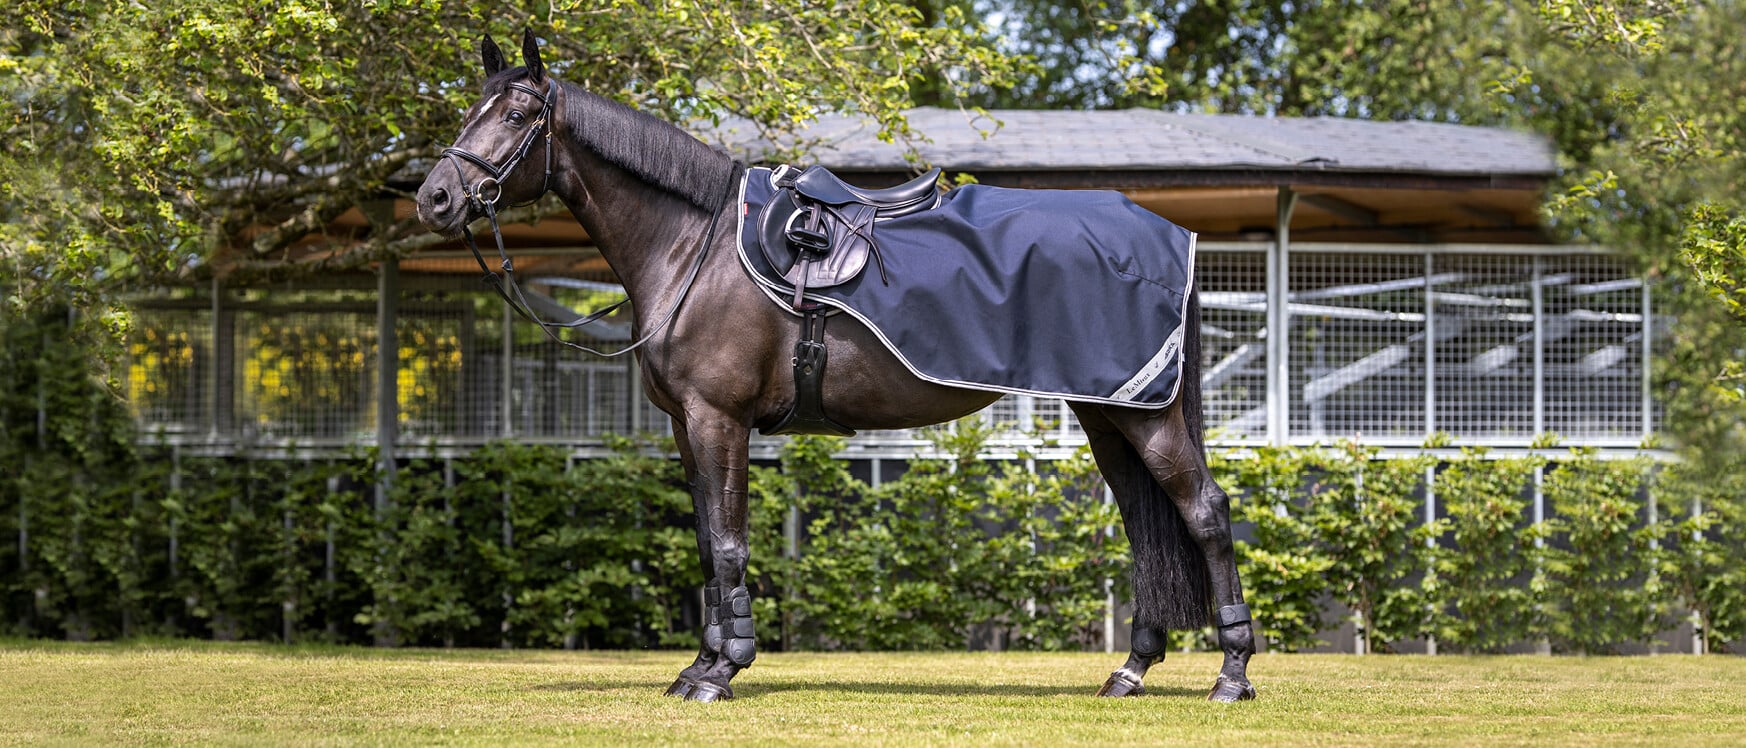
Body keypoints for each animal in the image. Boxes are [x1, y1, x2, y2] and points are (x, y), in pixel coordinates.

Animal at [415, 31, 1256, 703]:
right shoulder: (688, 427)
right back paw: (1131, 671)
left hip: (1144, 417)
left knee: (1205, 514)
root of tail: (1165, 232)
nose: (434, 198)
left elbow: (729, 542)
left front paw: (722, 673)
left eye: (516, 117)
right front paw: (698, 666)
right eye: (468, 111)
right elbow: (707, 543)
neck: (696, 247)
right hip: (1109, 416)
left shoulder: (719, 420)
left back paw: (1231, 675)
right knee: (1145, 524)